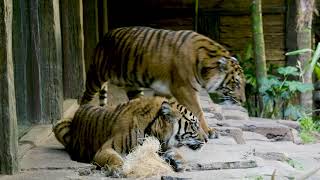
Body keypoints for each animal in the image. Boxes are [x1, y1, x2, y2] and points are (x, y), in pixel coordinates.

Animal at [53, 97, 206, 177]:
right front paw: (118, 169)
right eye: (194, 125)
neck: (156, 132)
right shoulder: (104, 149)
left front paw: (181, 162)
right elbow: (113, 157)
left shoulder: (162, 147)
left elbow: (174, 152)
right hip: (59, 125)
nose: (206, 139)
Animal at [79, 26, 245, 139]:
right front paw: (209, 131)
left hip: (133, 86)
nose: (243, 101)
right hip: (96, 75)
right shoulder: (184, 89)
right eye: (236, 83)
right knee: (85, 98)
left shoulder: (165, 90)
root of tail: (104, 36)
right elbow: (198, 111)